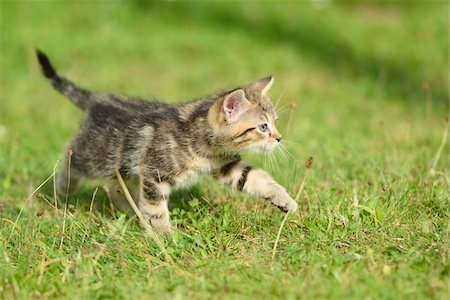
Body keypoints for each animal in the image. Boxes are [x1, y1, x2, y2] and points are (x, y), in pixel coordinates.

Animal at [37, 50, 298, 236]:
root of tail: (96, 98)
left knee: (117, 186)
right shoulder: (155, 175)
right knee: (72, 156)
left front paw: (286, 201)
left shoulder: (226, 166)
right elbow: (156, 211)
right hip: (96, 155)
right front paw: (166, 240)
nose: (279, 138)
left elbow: (256, 177)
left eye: (274, 122)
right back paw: (63, 189)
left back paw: (131, 211)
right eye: (263, 127)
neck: (205, 146)